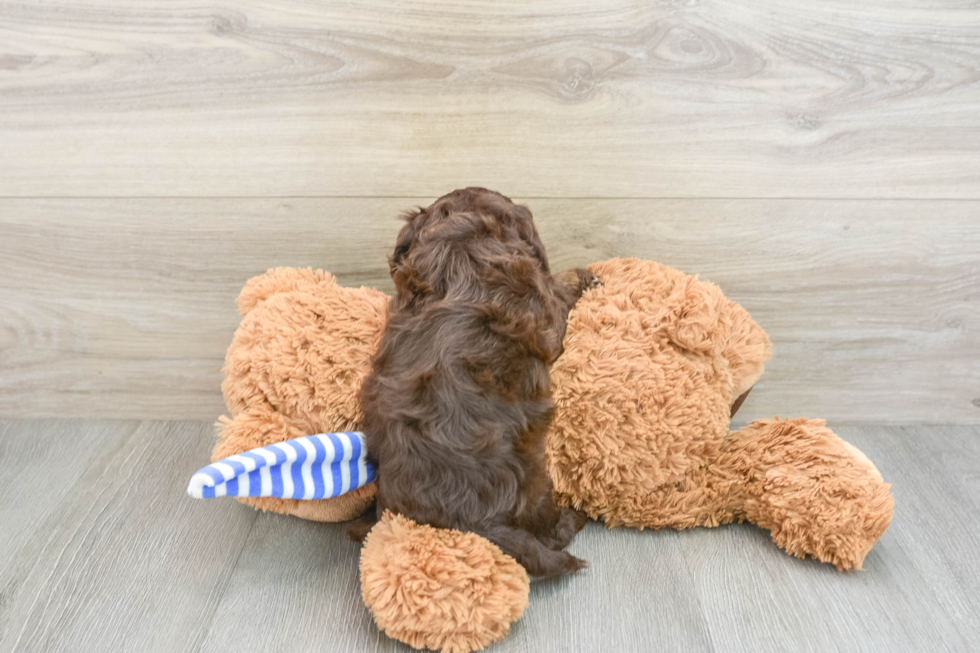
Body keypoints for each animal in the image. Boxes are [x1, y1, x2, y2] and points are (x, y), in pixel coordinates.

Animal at [354, 187, 596, 576]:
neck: (460, 247)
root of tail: (471, 526)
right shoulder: (546, 314)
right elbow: (558, 293)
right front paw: (581, 277)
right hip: (533, 480)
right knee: (551, 531)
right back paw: (574, 518)